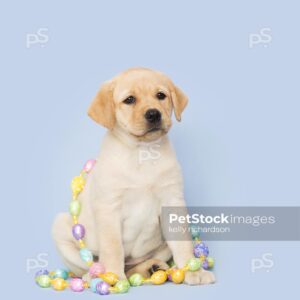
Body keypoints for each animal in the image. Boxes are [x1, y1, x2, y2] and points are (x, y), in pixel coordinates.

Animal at [52, 67, 216, 284]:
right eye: (129, 100)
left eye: (161, 95)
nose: (154, 114)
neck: (143, 152)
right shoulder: (109, 207)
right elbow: (113, 247)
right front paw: (113, 276)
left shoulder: (172, 201)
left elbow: (183, 243)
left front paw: (193, 271)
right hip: (61, 227)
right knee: (87, 266)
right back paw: (94, 275)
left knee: (134, 268)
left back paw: (151, 267)